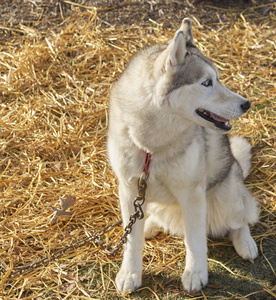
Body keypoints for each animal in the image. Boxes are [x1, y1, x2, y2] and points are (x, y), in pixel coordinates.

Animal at [106, 18, 258, 292]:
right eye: (206, 83)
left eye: (217, 79)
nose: (246, 104)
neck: (151, 147)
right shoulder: (129, 188)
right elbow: (132, 240)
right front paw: (130, 274)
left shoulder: (192, 192)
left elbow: (195, 240)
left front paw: (195, 274)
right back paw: (150, 224)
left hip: (229, 194)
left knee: (241, 219)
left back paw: (245, 243)